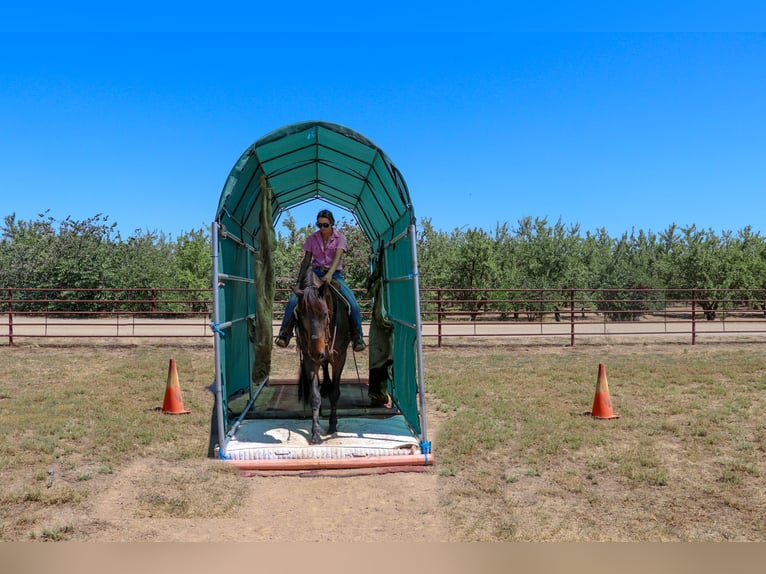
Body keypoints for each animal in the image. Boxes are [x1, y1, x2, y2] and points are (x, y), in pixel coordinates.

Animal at [294, 270, 354, 446]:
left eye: (325, 314)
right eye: (300, 315)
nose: (317, 352)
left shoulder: (340, 357)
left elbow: (335, 393)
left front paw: (333, 426)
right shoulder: (309, 360)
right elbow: (314, 397)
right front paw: (315, 434)